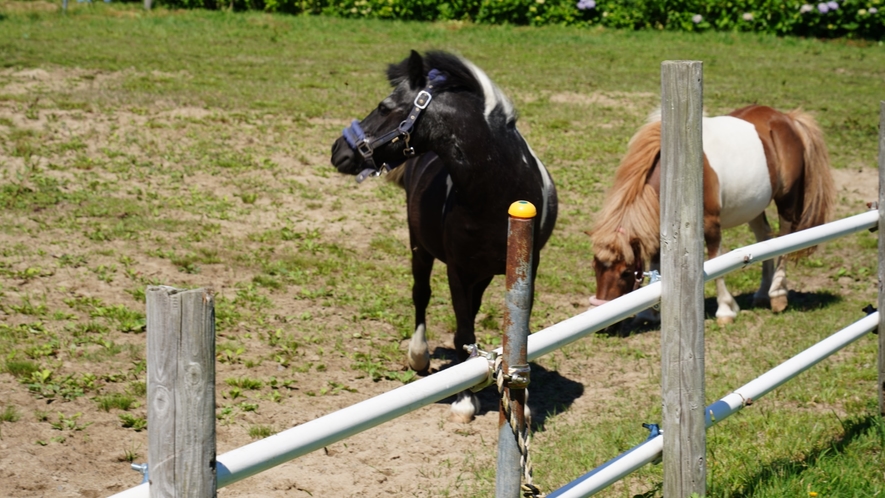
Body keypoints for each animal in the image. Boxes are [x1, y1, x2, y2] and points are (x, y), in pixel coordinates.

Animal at [328, 50, 556, 422]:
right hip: (420, 247)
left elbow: (518, 330)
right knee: (421, 294)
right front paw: (464, 400)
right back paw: (419, 355)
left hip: (481, 273)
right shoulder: (457, 269)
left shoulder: (525, 269)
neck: (499, 190)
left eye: (384, 106)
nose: (338, 151)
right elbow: (463, 329)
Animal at [592, 103, 832, 324]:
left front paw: (725, 310)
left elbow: (716, 262)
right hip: (754, 204)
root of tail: (787, 118)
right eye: (595, 267)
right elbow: (656, 263)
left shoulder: (710, 225)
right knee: (765, 237)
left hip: (787, 199)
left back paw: (777, 295)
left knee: (785, 238)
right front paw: (648, 312)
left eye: (625, 272)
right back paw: (762, 293)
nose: (603, 323)